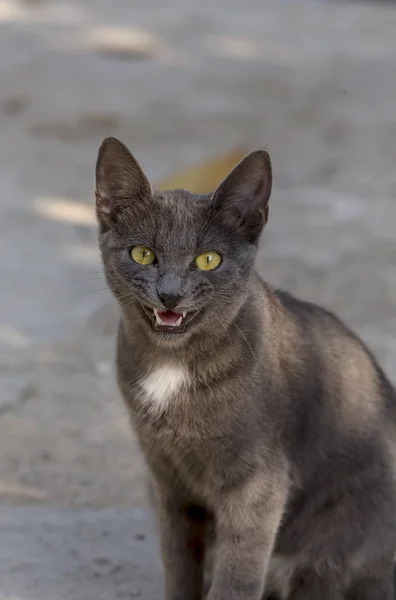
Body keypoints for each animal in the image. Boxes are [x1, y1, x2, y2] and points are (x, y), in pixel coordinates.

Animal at [95, 137, 396, 600]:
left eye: (207, 260)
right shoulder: (167, 481)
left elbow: (236, 578)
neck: (173, 366)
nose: (170, 294)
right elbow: (178, 564)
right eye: (143, 254)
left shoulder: (259, 484)